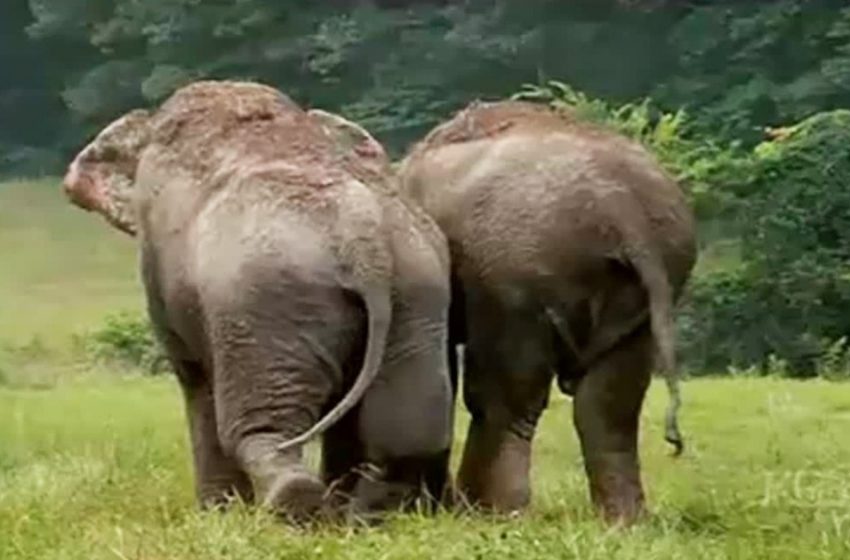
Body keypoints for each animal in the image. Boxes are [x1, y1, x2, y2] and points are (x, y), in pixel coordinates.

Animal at [62, 81, 454, 524]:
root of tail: (364, 238)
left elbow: (194, 379)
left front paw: (216, 515)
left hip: (269, 305)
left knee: (262, 429)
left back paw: (297, 506)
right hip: (416, 293)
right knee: (408, 429)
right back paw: (365, 517)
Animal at [398, 100, 696, 524]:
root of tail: (620, 205)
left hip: (512, 279)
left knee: (503, 394)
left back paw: (490, 511)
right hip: (648, 288)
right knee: (609, 403)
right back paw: (624, 521)